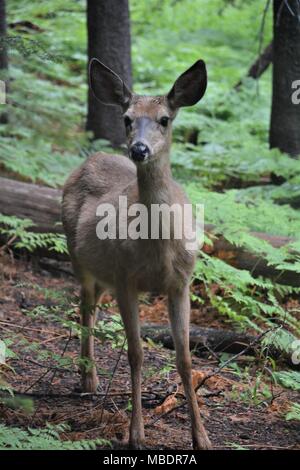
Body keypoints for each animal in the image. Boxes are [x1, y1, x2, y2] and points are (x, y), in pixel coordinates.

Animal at [61, 57, 211, 448]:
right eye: (127, 118)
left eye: (165, 119)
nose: (139, 149)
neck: (159, 246)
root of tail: (90, 158)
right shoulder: (126, 279)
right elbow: (136, 353)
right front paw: (136, 433)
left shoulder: (181, 283)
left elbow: (185, 359)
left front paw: (201, 437)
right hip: (78, 255)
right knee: (86, 305)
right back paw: (88, 379)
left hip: (103, 271)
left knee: (92, 303)